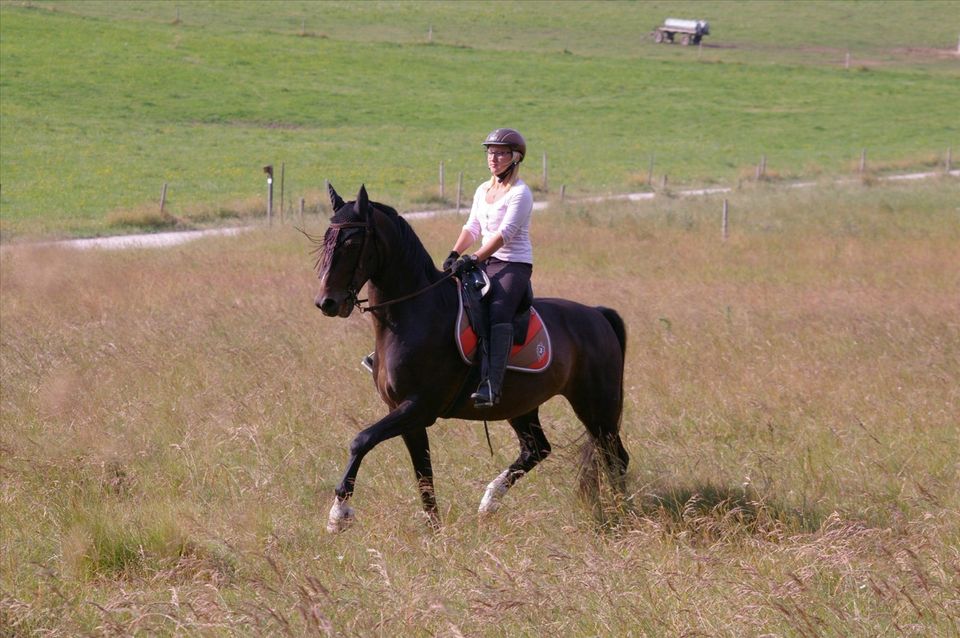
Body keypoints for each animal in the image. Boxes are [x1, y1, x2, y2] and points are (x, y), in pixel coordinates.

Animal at [314, 185, 632, 536]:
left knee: (615, 456)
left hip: (597, 406)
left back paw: (622, 516)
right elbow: (423, 475)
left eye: (351, 243)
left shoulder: (418, 407)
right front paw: (434, 532)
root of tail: (598, 315)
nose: (327, 302)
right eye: (326, 240)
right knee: (538, 448)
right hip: (522, 405)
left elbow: (361, 440)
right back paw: (489, 501)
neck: (416, 312)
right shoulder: (405, 414)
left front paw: (338, 514)